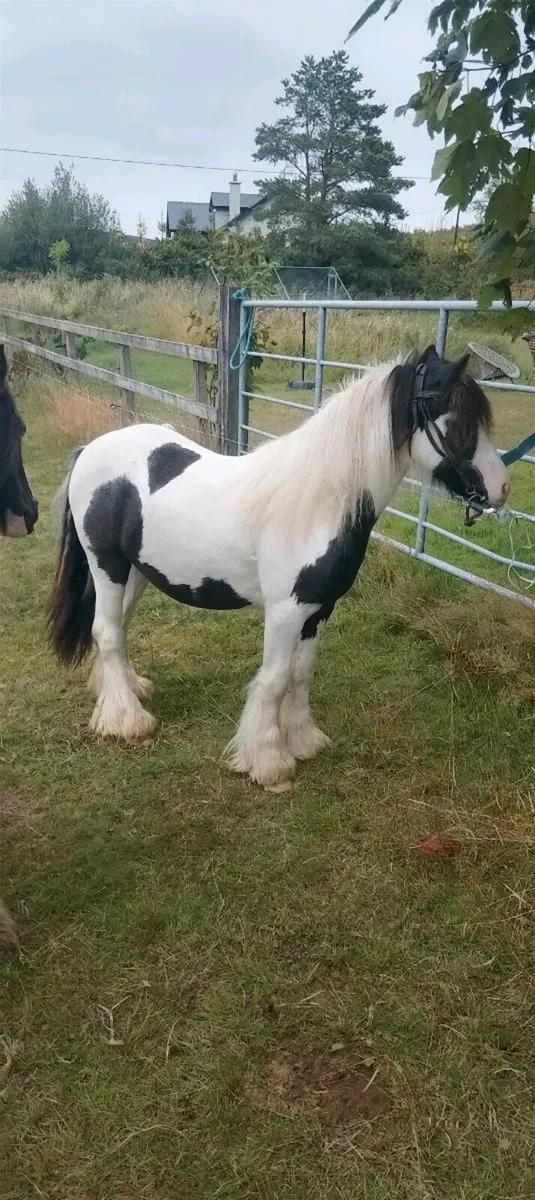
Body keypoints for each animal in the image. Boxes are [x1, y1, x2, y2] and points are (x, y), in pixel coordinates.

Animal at [48, 345, 509, 791]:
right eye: (458, 422)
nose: (501, 489)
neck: (319, 503)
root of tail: (90, 450)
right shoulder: (286, 611)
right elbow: (273, 680)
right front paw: (268, 763)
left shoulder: (319, 609)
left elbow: (300, 673)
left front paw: (303, 739)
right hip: (106, 565)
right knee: (107, 632)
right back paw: (128, 721)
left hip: (137, 571)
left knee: (117, 627)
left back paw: (127, 691)